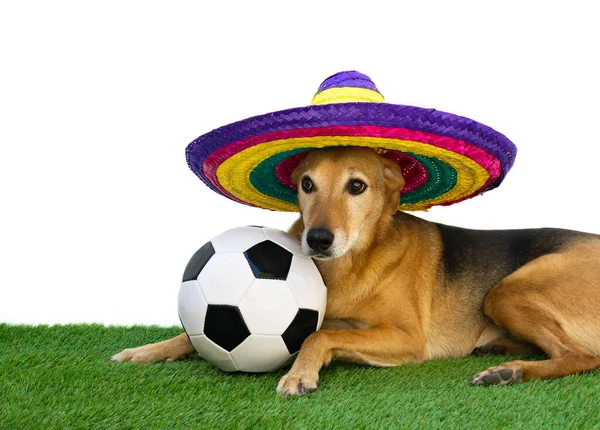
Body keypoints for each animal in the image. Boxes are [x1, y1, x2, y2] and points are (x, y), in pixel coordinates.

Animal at [111, 147, 600, 396]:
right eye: (307, 184)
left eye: (357, 186)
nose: (317, 240)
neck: (351, 263)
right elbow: (193, 335)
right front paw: (146, 350)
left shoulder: (405, 338)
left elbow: (317, 336)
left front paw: (299, 374)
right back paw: (499, 351)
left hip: (507, 289)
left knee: (583, 356)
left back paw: (511, 371)